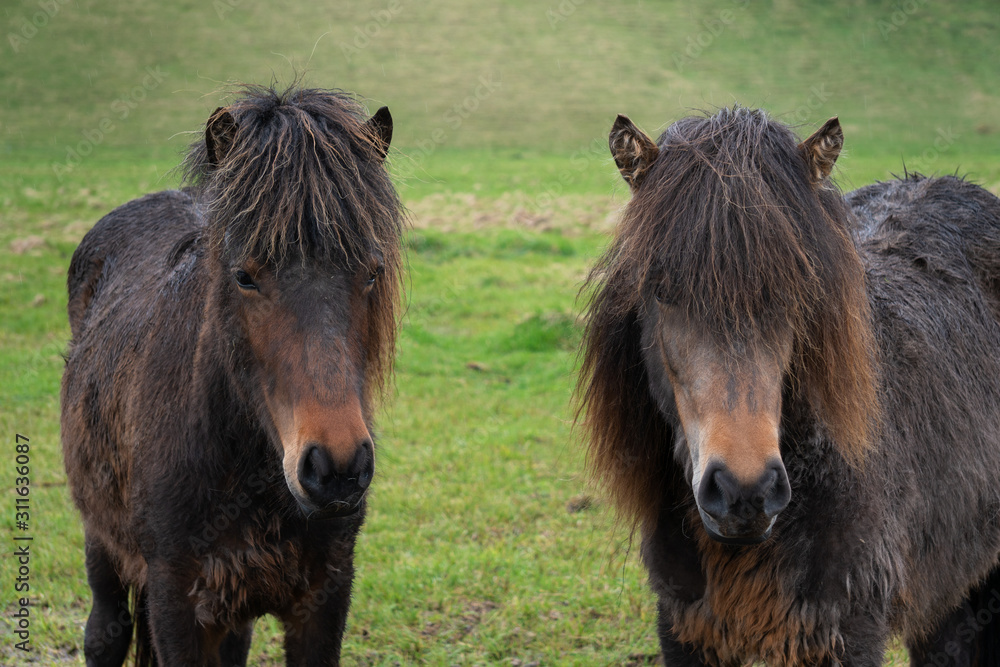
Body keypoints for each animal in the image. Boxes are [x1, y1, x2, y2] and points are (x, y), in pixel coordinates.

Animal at [60, 84, 403, 666]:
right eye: (244, 276)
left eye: (373, 271)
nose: (336, 468)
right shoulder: (176, 604)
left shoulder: (325, 598)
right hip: (100, 542)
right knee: (103, 632)